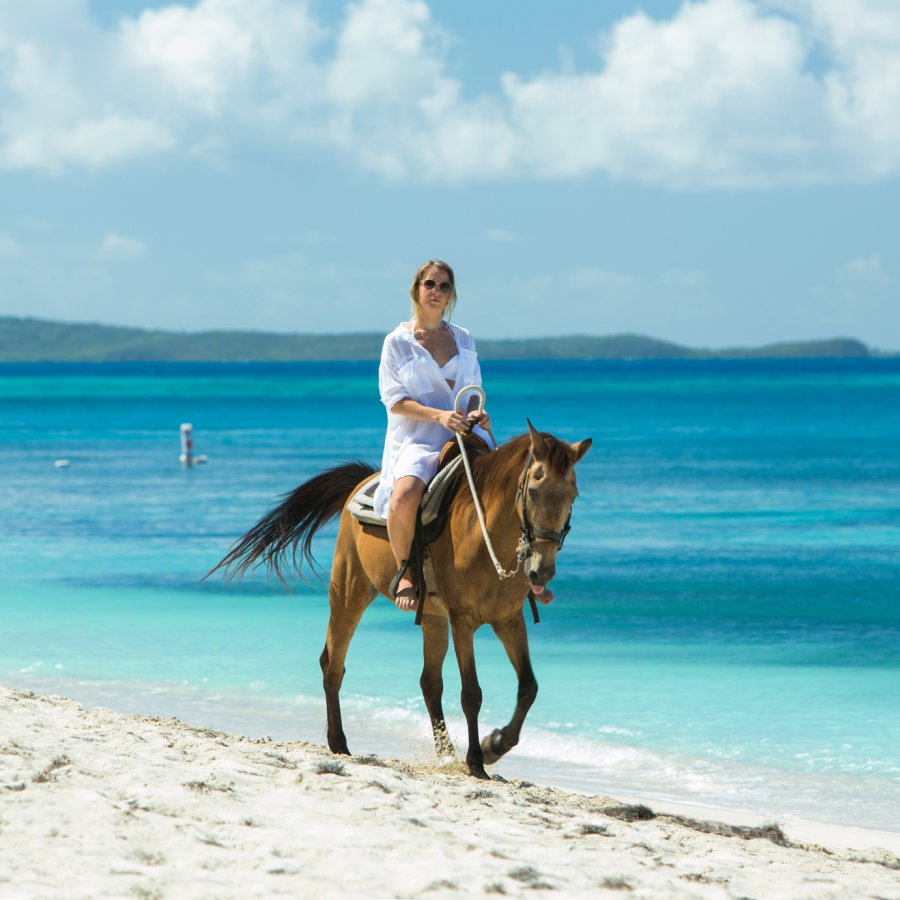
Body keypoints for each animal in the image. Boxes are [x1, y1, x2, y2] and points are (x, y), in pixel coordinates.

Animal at [211, 424, 592, 780]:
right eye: (533, 491)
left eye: (572, 494)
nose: (542, 572)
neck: (484, 533)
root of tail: (365, 479)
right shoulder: (463, 622)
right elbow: (472, 694)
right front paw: (477, 760)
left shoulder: (509, 620)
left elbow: (528, 687)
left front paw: (495, 744)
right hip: (349, 592)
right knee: (333, 664)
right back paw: (339, 742)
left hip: (433, 618)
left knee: (430, 682)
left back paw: (445, 753)